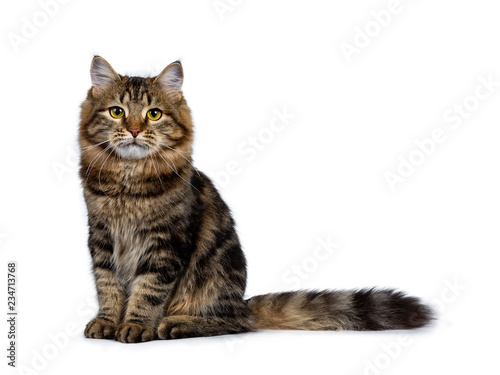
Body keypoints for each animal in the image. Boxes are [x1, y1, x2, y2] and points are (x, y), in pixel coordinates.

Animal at [80, 56, 432, 344]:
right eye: (117, 112)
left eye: (153, 114)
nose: (135, 131)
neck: (128, 183)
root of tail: (243, 302)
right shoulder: (101, 238)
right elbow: (108, 287)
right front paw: (107, 322)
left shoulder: (164, 245)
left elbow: (148, 292)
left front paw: (136, 325)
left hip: (214, 278)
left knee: (235, 323)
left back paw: (177, 324)